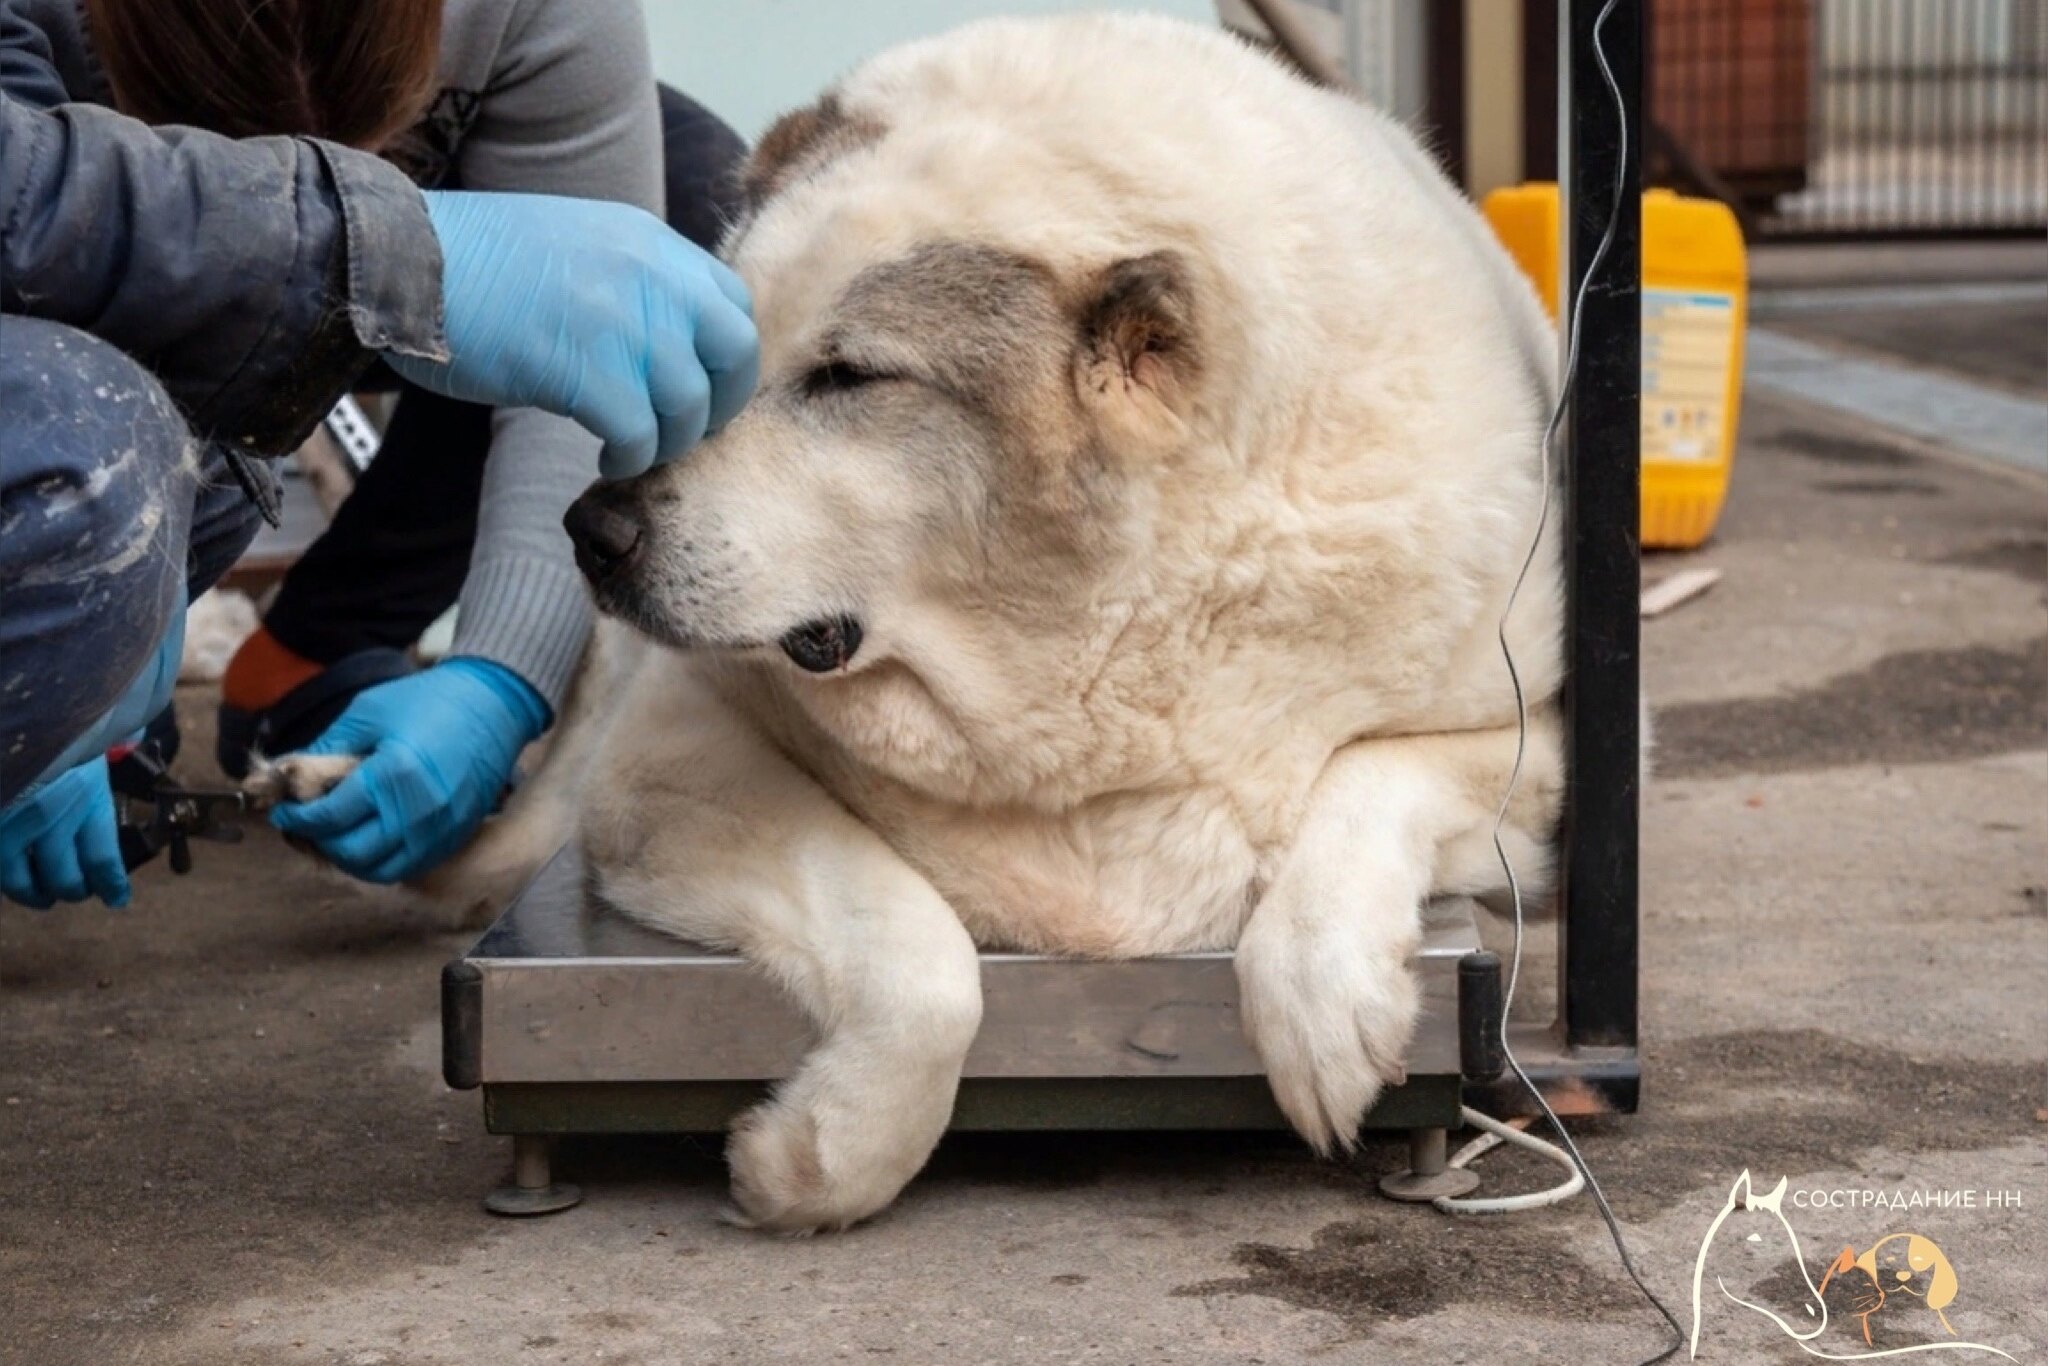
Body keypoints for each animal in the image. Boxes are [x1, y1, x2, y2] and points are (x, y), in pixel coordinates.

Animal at [264, 10, 1556, 1236]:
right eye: (715, 358)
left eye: (847, 378)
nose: (592, 528)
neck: (1081, 649)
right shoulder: (669, 766)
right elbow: (922, 962)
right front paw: (819, 1158)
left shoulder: (1527, 739)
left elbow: (1368, 781)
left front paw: (1325, 1010)